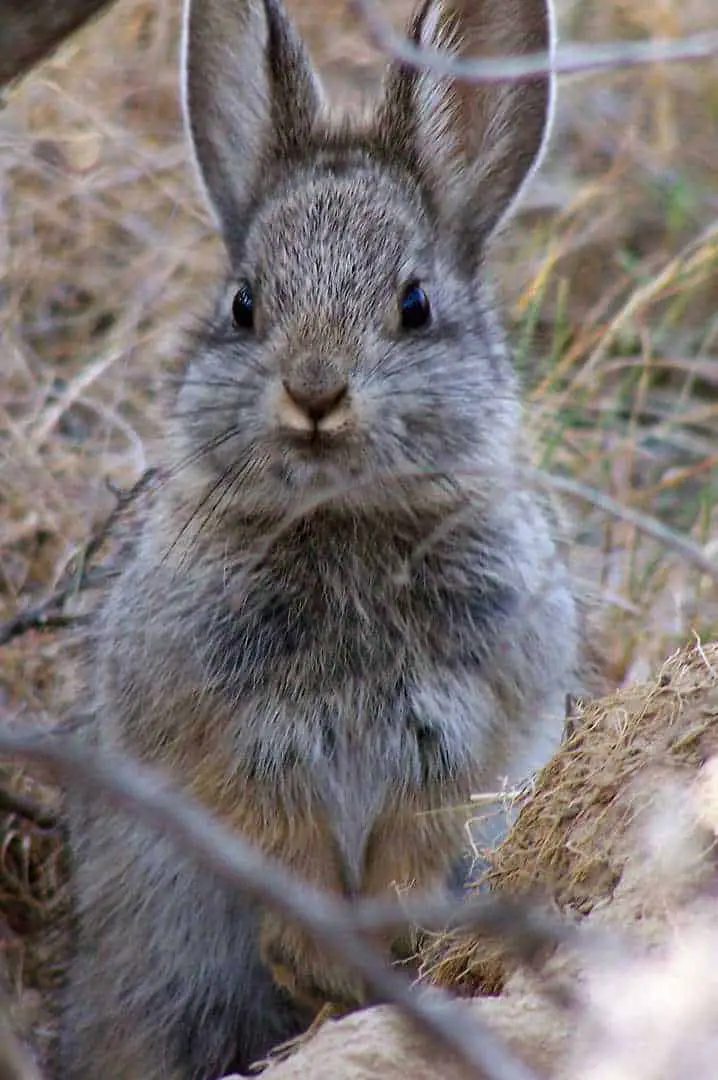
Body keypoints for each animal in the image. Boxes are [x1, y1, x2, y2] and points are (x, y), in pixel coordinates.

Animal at [60, 0, 600, 1075]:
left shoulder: (472, 729)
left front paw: (382, 947)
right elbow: (267, 834)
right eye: (244, 304)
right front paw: (315, 956)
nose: (314, 392)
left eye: (414, 304)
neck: (341, 516)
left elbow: (423, 835)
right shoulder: (220, 731)